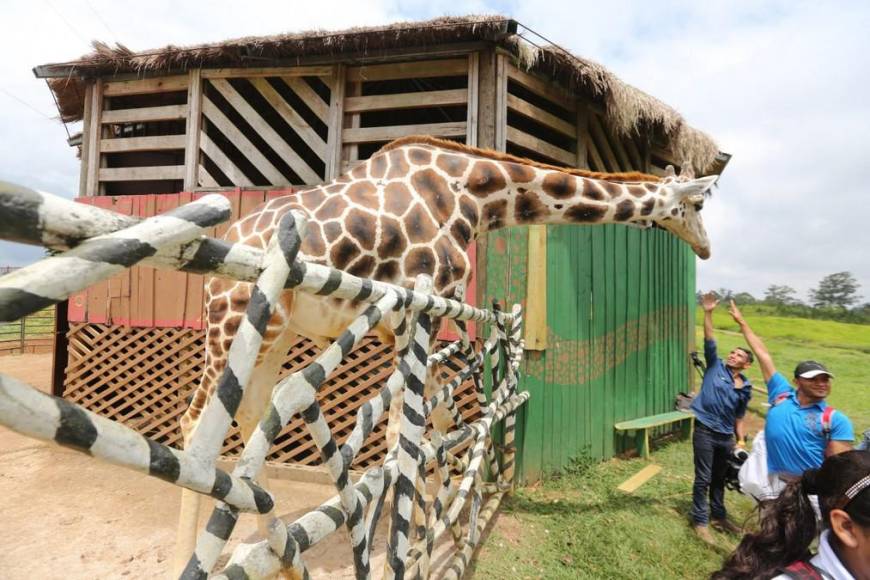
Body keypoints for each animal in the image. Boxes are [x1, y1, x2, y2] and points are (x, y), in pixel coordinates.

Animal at [170, 135, 716, 572]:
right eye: (698, 205)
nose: (707, 249)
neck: (472, 192)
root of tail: (227, 243)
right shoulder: (419, 307)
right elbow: (408, 437)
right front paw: (409, 546)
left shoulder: (413, 319)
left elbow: (430, 427)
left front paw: (438, 525)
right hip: (233, 319)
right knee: (197, 422)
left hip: (275, 333)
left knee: (251, 410)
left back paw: (278, 545)